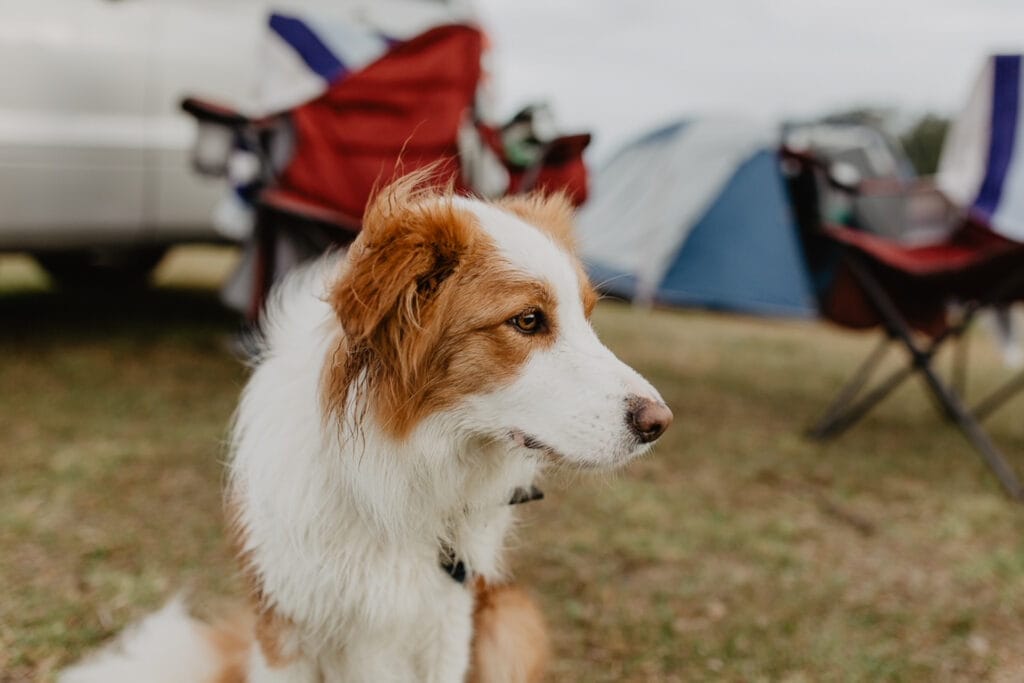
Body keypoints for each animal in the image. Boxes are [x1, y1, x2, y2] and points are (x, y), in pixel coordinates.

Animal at [61, 175, 671, 683]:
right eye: (527, 320)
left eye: (588, 318)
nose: (659, 423)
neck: (396, 471)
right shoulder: (284, 628)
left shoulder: (449, 624)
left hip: (509, 624)